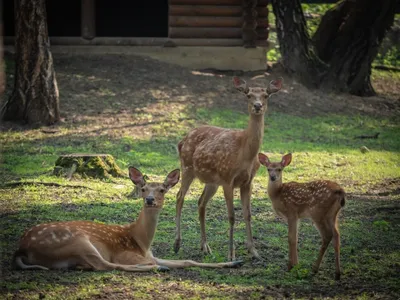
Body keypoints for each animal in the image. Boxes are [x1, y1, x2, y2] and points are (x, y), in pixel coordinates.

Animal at [12, 168, 242, 270]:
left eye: (162, 189)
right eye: (143, 188)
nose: (150, 199)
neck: (140, 240)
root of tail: (22, 247)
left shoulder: (152, 253)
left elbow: (187, 260)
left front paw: (233, 262)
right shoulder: (126, 254)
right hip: (77, 241)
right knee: (106, 265)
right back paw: (158, 268)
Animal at [173, 75, 282, 260]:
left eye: (266, 95)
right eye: (248, 95)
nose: (257, 106)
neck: (245, 153)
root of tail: (182, 141)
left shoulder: (248, 182)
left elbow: (248, 214)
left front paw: (254, 251)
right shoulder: (227, 178)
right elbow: (231, 216)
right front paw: (231, 255)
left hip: (211, 181)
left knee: (200, 202)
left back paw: (205, 246)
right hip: (187, 167)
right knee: (180, 197)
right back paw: (177, 243)